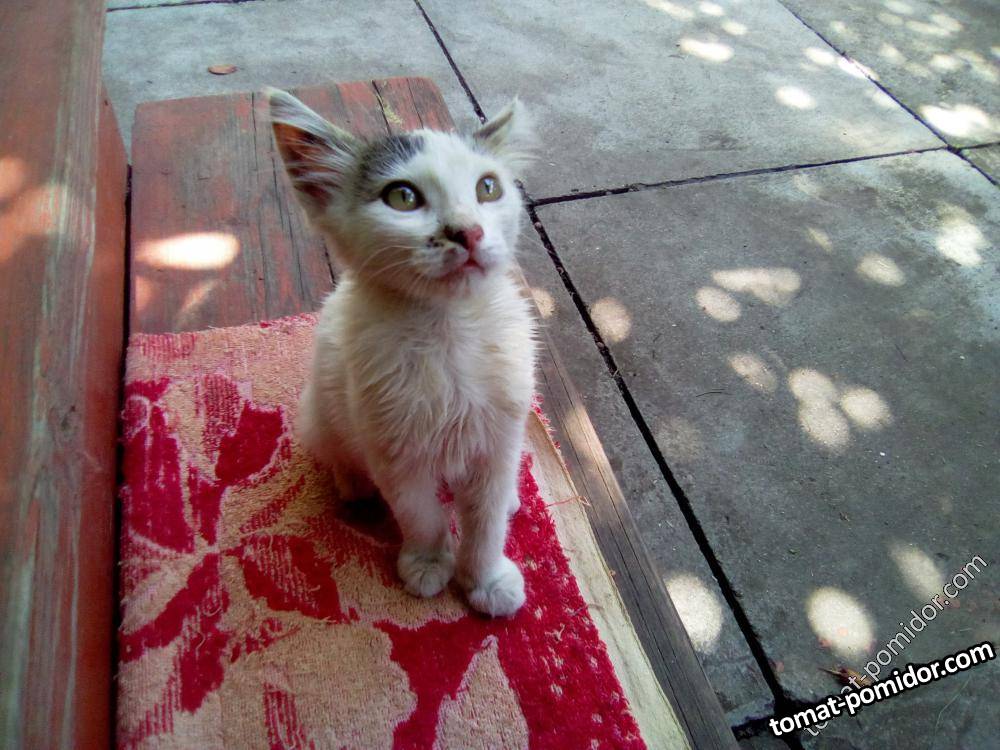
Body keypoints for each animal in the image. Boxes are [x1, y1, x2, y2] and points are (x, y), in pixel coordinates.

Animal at [268, 88, 537, 617]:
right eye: (402, 197)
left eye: (488, 188)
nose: (468, 232)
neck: (449, 332)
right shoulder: (392, 448)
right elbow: (420, 512)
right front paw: (430, 564)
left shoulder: (499, 436)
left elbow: (486, 519)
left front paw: (486, 579)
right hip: (321, 409)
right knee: (337, 450)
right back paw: (352, 486)